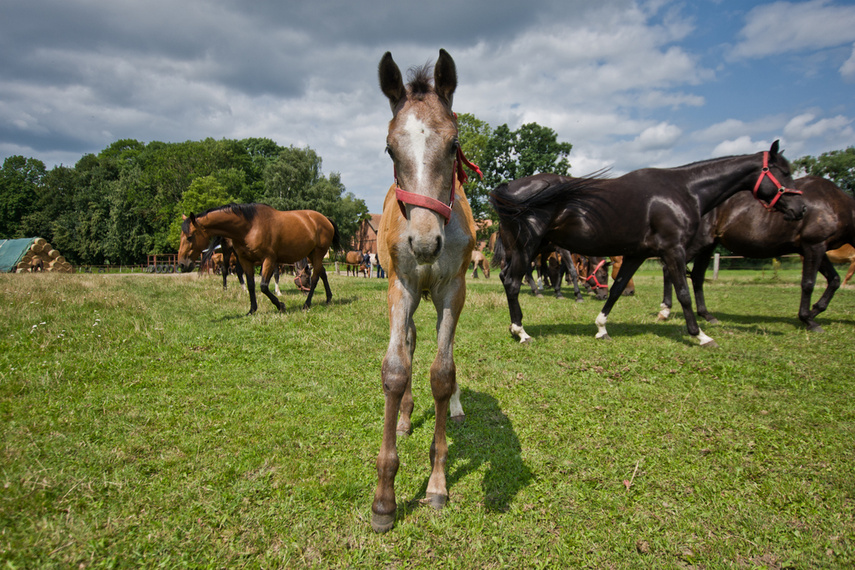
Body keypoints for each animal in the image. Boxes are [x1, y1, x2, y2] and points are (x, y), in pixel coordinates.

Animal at [179, 202, 340, 312]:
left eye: (189, 237)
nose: (182, 264)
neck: (249, 227)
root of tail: (325, 219)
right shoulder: (246, 260)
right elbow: (251, 284)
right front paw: (252, 310)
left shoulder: (269, 260)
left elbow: (263, 285)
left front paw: (280, 305)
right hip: (312, 254)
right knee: (322, 273)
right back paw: (328, 298)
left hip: (317, 253)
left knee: (316, 277)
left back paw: (307, 303)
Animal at [492, 141, 804, 346]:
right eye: (784, 172)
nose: (800, 209)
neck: (684, 190)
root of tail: (508, 188)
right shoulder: (673, 250)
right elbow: (683, 292)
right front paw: (700, 335)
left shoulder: (636, 255)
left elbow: (617, 289)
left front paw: (601, 327)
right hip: (526, 248)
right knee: (513, 282)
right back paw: (521, 332)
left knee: (508, 279)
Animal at [664, 175, 855, 330]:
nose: (800, 211)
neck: (834, 204)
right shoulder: (813, 245)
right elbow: (808, 283)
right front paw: (808, 319)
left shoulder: (818, 249)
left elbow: (834, 280)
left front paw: (814, 311)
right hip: (696, 244)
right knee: (670, 270)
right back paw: (666, 309)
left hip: (708, 245)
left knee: (696, 276)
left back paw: (706, 315)